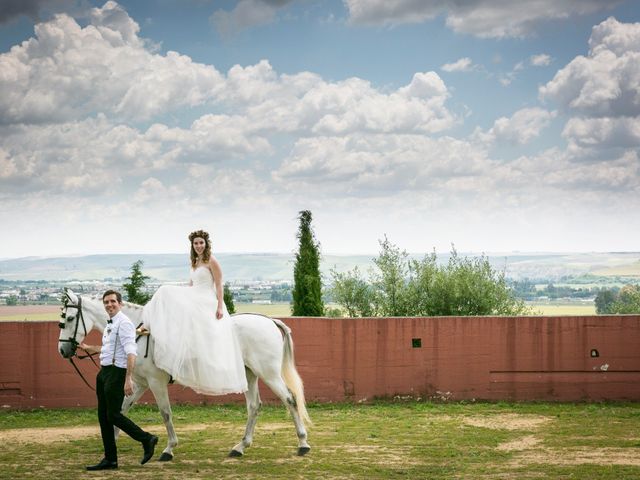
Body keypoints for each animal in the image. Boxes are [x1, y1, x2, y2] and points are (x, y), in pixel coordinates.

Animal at [56, 290, 312, 460]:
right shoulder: (139, 384)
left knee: (289, 399)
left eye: (69, 319)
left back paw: (302, 443)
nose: (63, 350)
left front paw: (168, 449)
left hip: (268, 373)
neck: (139, 331)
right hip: (249, 375)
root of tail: (269, 321)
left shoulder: (156, 383)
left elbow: (165, 413)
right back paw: (239, 447)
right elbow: (121, 410)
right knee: (254, 406)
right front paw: (114, 440)